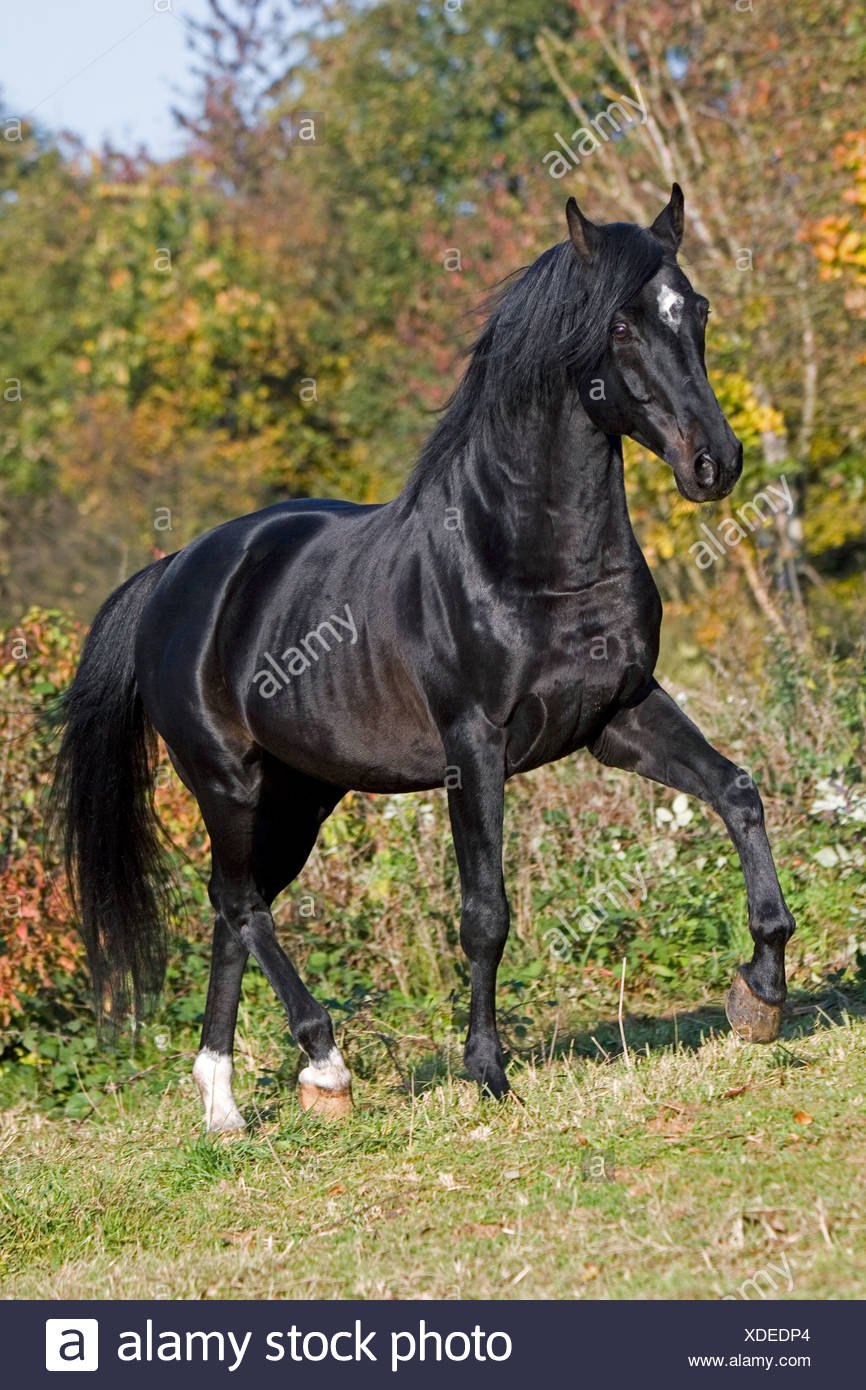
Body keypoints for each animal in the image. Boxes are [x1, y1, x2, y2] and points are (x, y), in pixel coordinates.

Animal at [54, 187, 795, 1128]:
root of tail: (173, 574)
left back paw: (225, 1107)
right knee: (242, 905)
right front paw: (488, 1072)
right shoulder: (472, 747)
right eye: (622, 325)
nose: (716, 463)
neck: (525, 557)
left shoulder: (621, 716)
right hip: (229, 783)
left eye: (694, 309)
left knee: (233, 908)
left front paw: (761, 994)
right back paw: (324, 1065)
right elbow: (485, 912)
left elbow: (738, 792)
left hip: (301, 794)